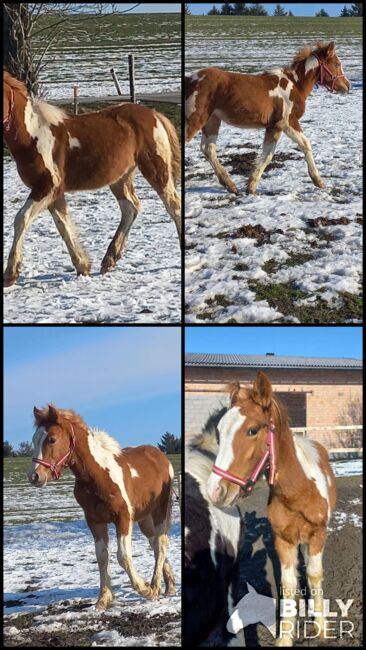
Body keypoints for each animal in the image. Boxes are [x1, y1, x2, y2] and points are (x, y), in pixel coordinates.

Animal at [2, 69, 180, 284]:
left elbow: (22, 218)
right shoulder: (53, 192)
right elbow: (63, 225)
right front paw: (83, 266)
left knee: (173, 205)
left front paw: (10, 273)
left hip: (156, 169)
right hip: (120, 178)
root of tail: (154, 114)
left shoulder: (48, 186)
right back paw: (109, 260)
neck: (33, 135)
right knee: (131, 208)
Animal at [26, 404, 175, 608]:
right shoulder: (94, 520)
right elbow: (102, 556)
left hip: (160, 510)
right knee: (155, 543)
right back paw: (169, 585)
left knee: (161, 544)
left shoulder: (123, 518)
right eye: (34, 439)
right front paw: (103, 598)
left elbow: (123, 556)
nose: (34, 476)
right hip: (145, 518)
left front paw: (144, 588)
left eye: (52, 439)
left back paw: (156, 586)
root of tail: (161, 456)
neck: (97, 476)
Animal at [186, 41, 348, 194]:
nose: (347, 85)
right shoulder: (287, 122)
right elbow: (305, 144)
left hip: (212, 121)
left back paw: (230, 185)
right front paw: (318, 181)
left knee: (208, 149)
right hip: (195, 118)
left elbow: (267, 155)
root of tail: (190, 79)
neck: (294, 86)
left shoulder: (274, 127)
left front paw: (251, 187)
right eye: (337, 64)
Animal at [207, 370, 336, 644]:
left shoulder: (318, 534)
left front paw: (321, 627)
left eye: (252, 430)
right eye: (220, 431)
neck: (297, 493)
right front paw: (285, 637)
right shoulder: (283, 540)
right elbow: (288, 584)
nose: (215, 491)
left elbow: (314, 575)